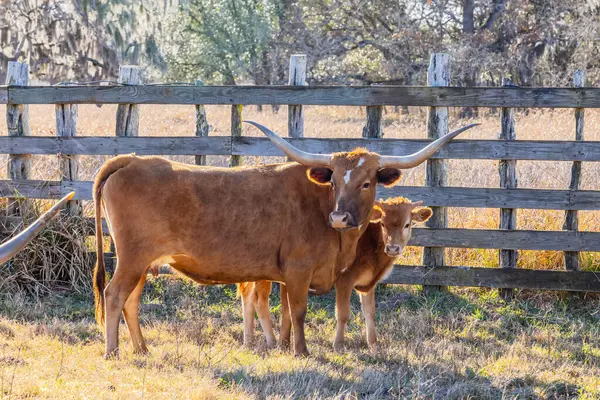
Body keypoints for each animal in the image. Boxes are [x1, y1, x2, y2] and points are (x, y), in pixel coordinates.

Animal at [95, 120, 478, 358]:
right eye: (334, 179)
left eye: (367, 182)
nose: (339, 217)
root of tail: (131, 160)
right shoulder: (298, 269)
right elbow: (298, 312)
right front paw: (302, 351)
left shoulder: (284, 274)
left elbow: (282, 314)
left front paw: (281, 346)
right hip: (132, 259)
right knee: (114, 296)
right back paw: (113, 352)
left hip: (142, 263)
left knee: (130, 300)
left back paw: (142, 348)